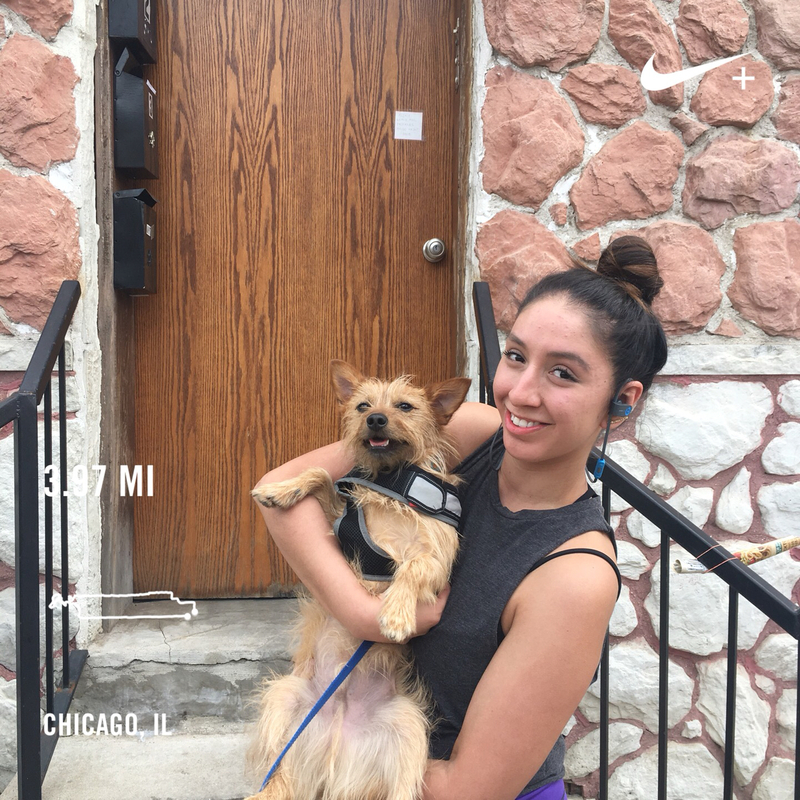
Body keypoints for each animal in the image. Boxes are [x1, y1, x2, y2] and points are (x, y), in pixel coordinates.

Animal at [247, 359, 470, 800]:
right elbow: (319, 473)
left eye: (405, 406)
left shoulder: (437, 558)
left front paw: (397, 615)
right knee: (279, 775)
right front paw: (280, 490)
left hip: (407, 723)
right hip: (285, 698)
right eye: (363, 405)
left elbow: (413, 567)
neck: (391, 481)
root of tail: (337, 739)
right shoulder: (339, 529)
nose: (375, 419)